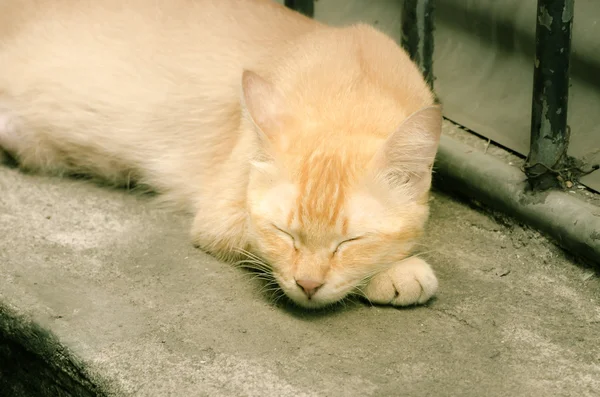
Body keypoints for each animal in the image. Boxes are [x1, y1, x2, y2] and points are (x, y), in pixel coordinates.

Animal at [0, 0, 440, 308]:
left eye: (350, 241)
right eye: (284, 233)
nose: (308, 285)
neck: (353, 88)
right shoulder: (220, 216)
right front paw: (399, 272)